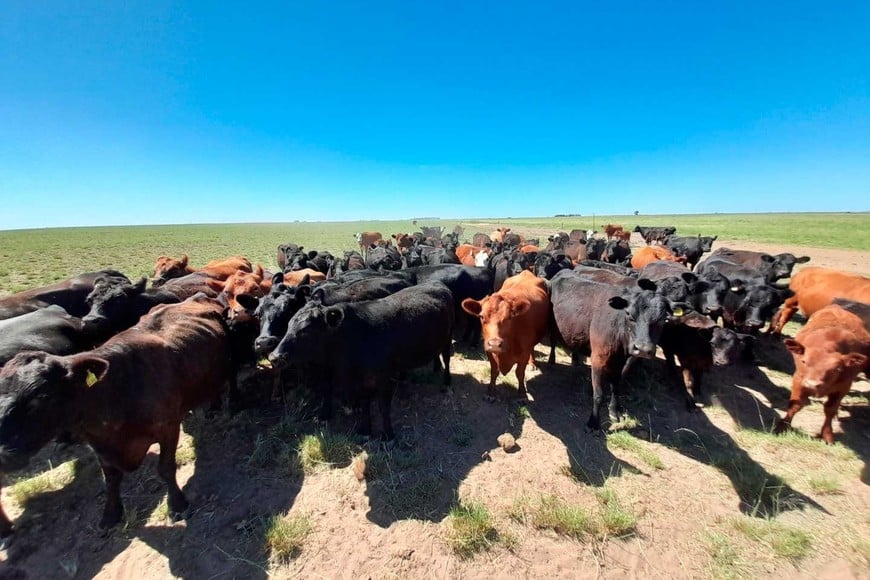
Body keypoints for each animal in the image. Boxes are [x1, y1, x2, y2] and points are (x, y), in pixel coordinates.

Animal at [270, 282, 454, 440]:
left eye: (306, 329)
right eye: (289, 324)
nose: (274, 357)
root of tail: (437, 284)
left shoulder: (384, 376)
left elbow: (383, 407)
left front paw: (388, 435)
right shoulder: (360, 380)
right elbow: (365, 405)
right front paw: (365, 431)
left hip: (447, 338)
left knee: (446, 358)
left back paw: (446, 383)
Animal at [460, 270, 548, 398]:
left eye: (509, 318)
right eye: (481, 316)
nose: (495, 344)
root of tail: (526, 272)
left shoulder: (524, 352)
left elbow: (520, 373)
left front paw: (522, 393)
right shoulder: (489, 351)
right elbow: (494, 372)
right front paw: (491, 392)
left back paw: (532, 363)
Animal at [776, 304, 870, 444]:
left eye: (837, 369)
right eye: (804, 361)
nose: (812, 384)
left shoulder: (843, 387)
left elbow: (830, 409)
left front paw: (827, 435)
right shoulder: (799, 380)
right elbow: (796, 404)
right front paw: (782, 426)